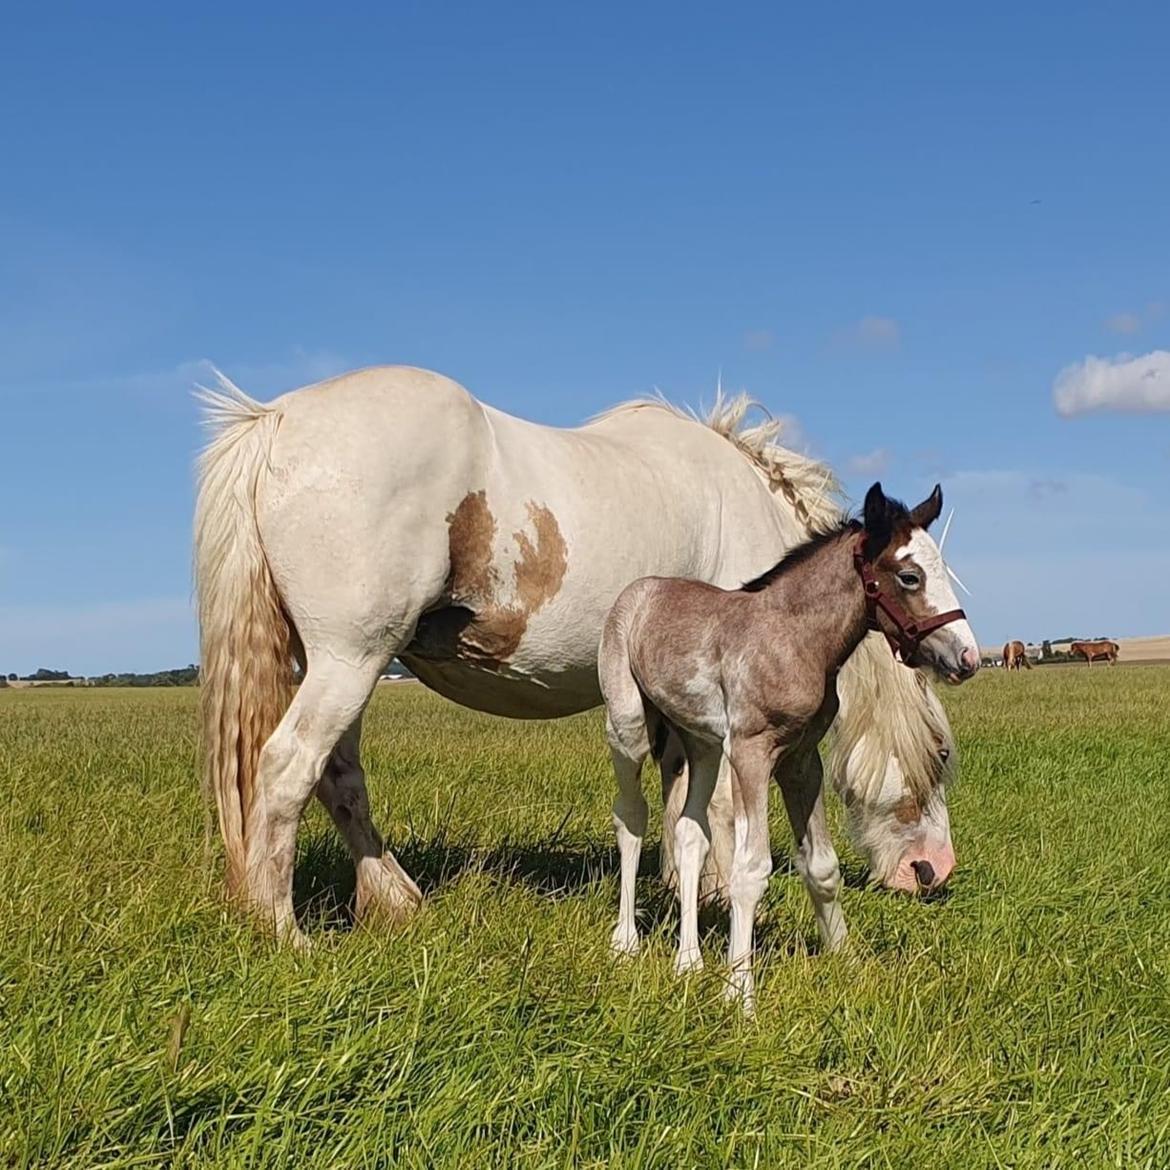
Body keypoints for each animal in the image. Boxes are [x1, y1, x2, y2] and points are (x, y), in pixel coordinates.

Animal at [194, 369, 959, 945]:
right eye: (942, 753)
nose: (932, 873)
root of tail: (276, 418)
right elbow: (718, 812)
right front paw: (722, 901)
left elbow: (681, 800)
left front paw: (686, 894)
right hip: (348, 659)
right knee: (289, 767)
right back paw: (282, 929)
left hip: (342, 665)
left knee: (339, 778)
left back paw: (394, 899)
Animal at [599, 482, 982, 1006]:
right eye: (909, 576)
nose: (968, 658)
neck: (794, 639)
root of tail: (639, 589)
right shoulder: (752, 753)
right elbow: (749, 869)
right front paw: (739, 993)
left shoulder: (801, 760)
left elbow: (821, 866)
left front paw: (846, 963)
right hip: (630, 729)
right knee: (631, 817)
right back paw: (626, 943)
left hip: (702, 745)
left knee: (690, 832)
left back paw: (688, 962)